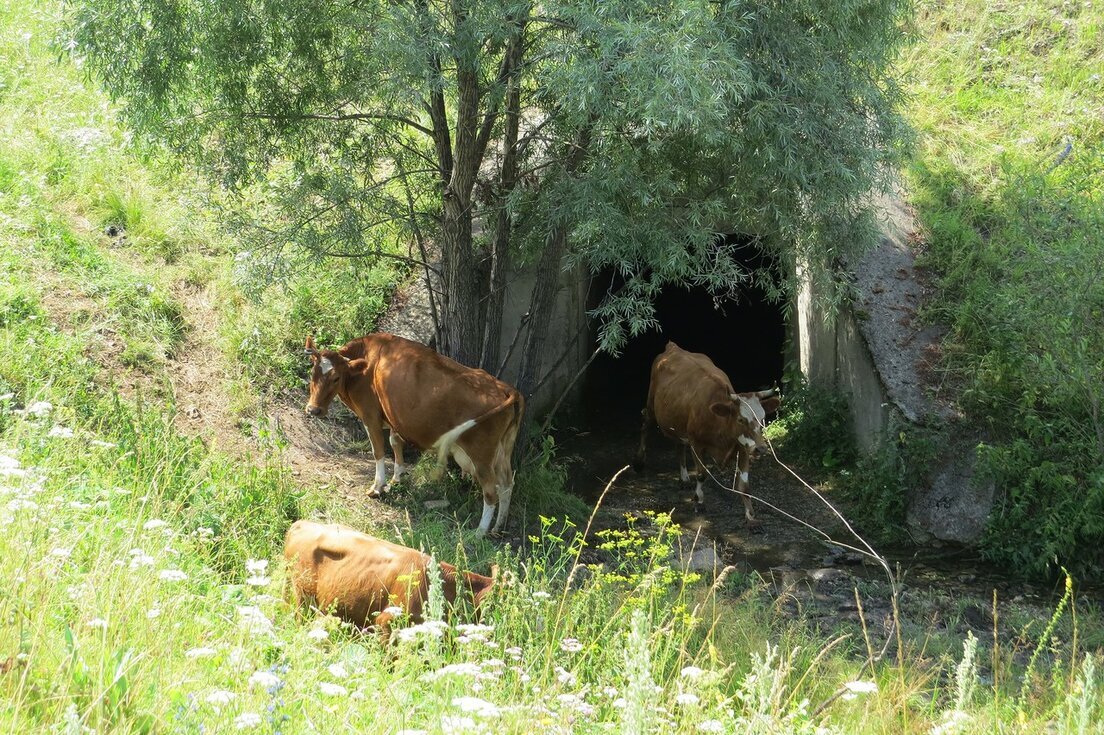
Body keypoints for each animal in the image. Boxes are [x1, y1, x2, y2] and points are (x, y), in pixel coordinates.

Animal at [304, 331, 523, 531]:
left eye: (336, 378)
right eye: (312, 373)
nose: (313, 410)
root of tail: (507, 388)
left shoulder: (370, 416)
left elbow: (378, 451)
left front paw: (377, 487)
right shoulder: (392, 417)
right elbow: (394, 442)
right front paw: (397, 476)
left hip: (481, 454)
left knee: (491, 492)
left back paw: (480, 532)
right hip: (504, 449)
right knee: (507, 484)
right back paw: (498, 527)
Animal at [635, 339, 781, 523]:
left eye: (763, 418)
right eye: (740, 419)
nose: (761, 449)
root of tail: (672, 347)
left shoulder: (743, 447)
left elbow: (745, 486)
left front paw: (751, 518)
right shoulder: (696, 444)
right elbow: (702, 474)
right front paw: (699, 502)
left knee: (678, 445)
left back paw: (684, 478)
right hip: (652, 406)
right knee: (645, 426)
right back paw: (639, 461)